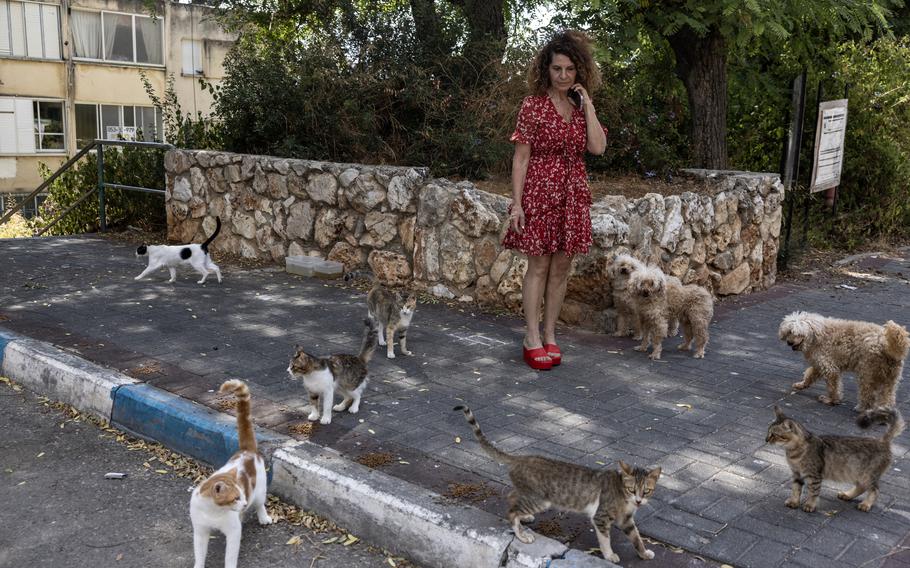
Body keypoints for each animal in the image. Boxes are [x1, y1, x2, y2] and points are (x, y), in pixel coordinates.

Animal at [187, 378, 268, 568]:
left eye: (240, 495)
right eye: (235, 498)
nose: (244, 503)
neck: (213, 512)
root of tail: (247, 450)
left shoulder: (233, 532)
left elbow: (230, 557)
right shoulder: (200, 531)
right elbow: (199, 553)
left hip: (260, 491)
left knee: (260, 503)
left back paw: (263, 517)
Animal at [456, 404, 664, 564]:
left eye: (646, 491)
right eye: (631, 489)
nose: (639, 501)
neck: (624, 497)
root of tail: (521, 458)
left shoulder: (627, 520)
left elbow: (637, 537)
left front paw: (644, 553)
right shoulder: (601, 517)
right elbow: (605, 539)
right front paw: (610, 555)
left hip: (529, 494)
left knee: (511, 496)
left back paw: (526, 517)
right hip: (541, 500)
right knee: (512, 511)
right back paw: (522, 534)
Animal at [768, 406, 904, 512]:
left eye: (774, 435)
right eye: (768, 432)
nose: (766, 439)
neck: (793, 453)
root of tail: (882, 441)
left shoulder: (814, 476)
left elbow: (813, 492)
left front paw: (810, 505)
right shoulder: (797, 473)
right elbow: (796, 489)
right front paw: (794, 502)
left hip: (868, 475)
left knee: (875, 490)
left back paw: (866, 504)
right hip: (858, 474)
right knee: (861, 487)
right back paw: (847, 495)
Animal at [776, 312, 910, 410]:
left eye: (797, 333)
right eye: (788, 332)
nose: (789, 342)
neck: (816, 335)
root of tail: (886, 344)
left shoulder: (829, 368)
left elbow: (833, 387)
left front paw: (831, 400)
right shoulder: (819, 365)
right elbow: (809, 375)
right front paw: (801, 385)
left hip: (867, 374)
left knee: (868, 395)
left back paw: (861, 408)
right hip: (890, 378)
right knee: (888, 397)